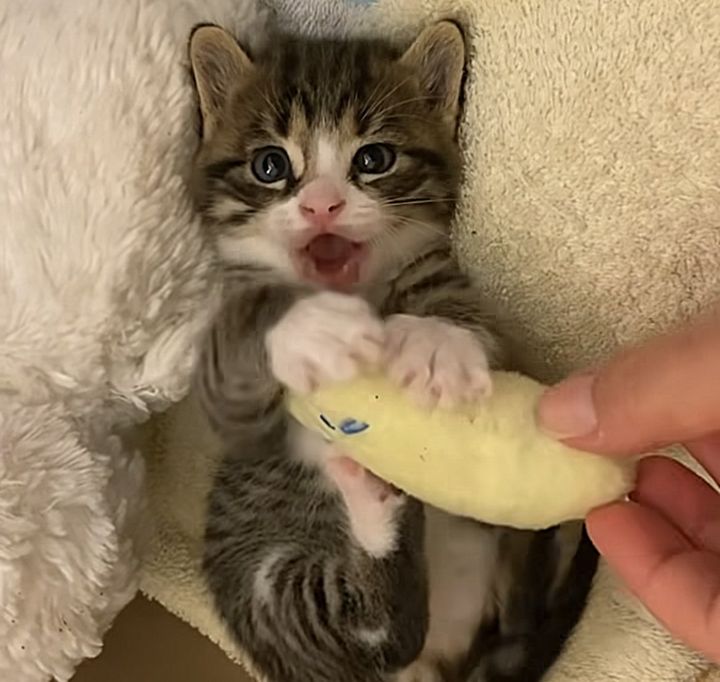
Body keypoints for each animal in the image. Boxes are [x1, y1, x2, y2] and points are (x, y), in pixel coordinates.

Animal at [188, 21, 600, 680]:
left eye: (373, 160)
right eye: (270, 165)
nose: (321, 204)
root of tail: (441, 659)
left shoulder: (462, 299)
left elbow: (481, 338)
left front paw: (436, 345)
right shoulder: (236, 417)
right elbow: (236, 372)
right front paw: (307, 327)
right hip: (261, 586)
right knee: (366, 633)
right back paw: (379, 509)